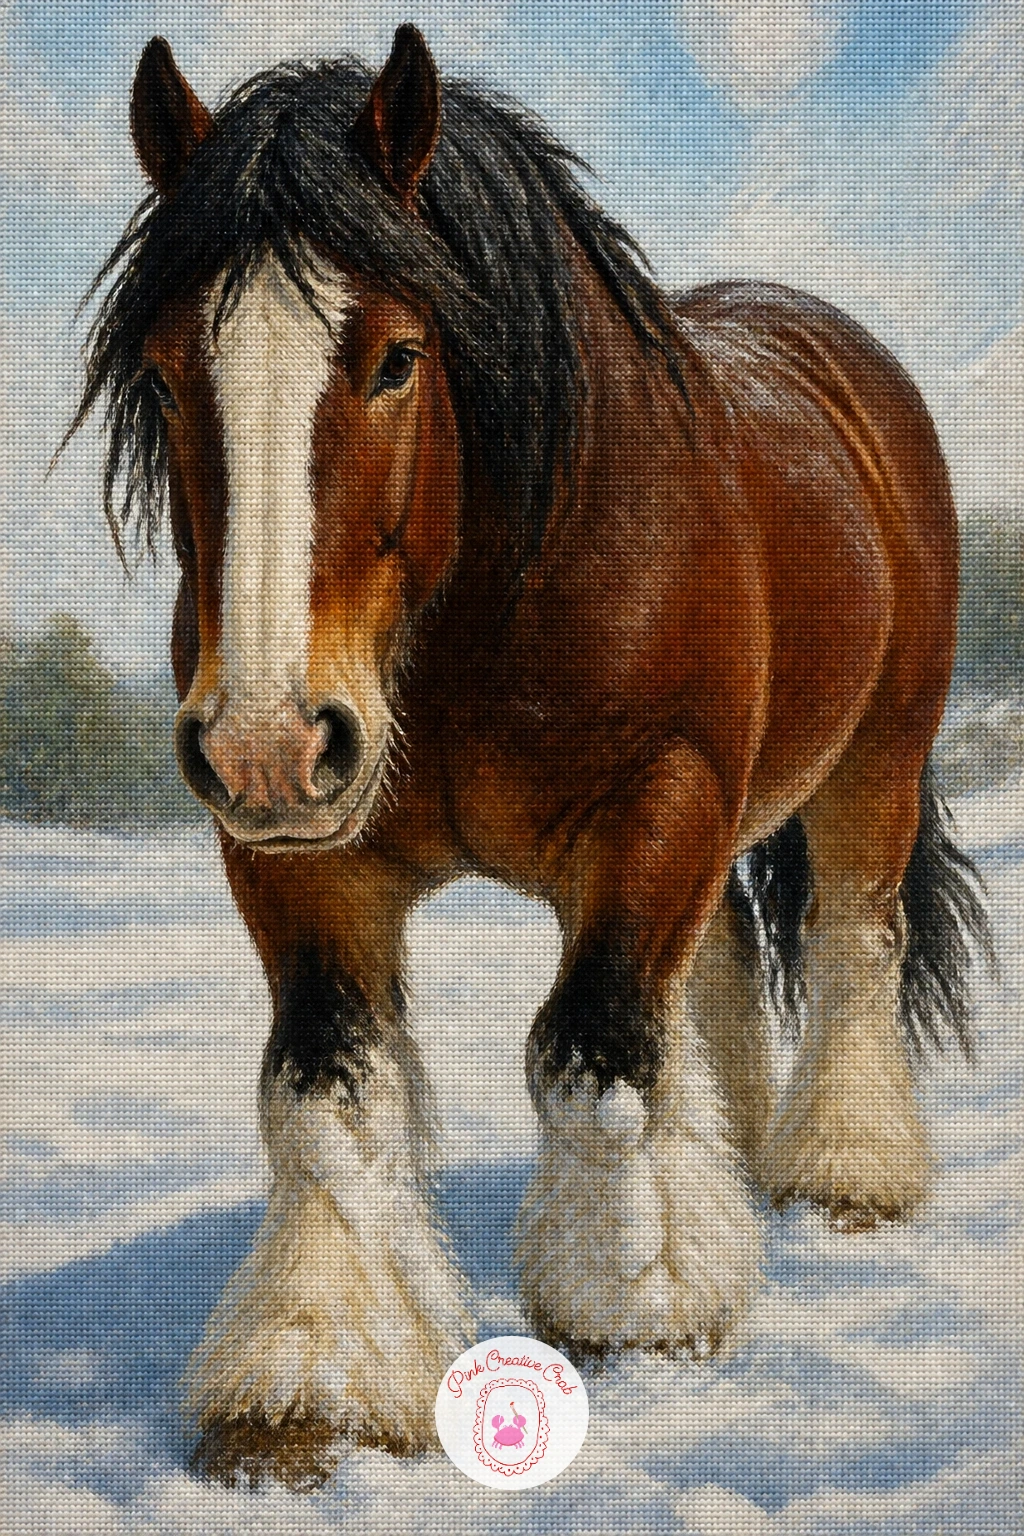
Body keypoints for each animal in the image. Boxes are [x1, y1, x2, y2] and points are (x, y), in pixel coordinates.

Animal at [74, 25, 989, 1490]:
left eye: (395, 357)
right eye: (166, 375)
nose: (266, 739)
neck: (473, 609)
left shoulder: (654, 803)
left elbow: (591, 1055)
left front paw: (634, 1307)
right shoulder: (300, 860)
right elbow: (324, 1090)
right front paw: (310, 1384)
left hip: (870, 762)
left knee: (851, 940)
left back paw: (843, 1178)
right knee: (716, 974)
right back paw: (731, 1172)